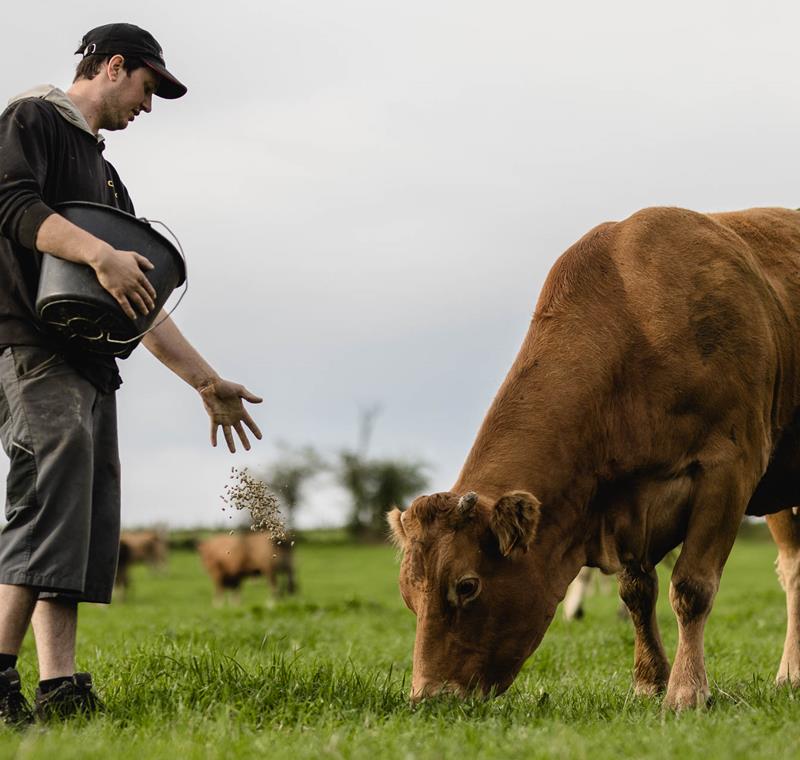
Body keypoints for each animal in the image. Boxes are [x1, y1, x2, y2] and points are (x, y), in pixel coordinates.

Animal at [388, 205, 800, 708]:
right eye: (408, 593)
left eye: (467, 586)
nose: (429, 695)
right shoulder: (627, 501)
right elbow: (637, 592)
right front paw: (649, 680)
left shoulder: (729, 469)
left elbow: (692, 587)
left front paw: (686, 690)